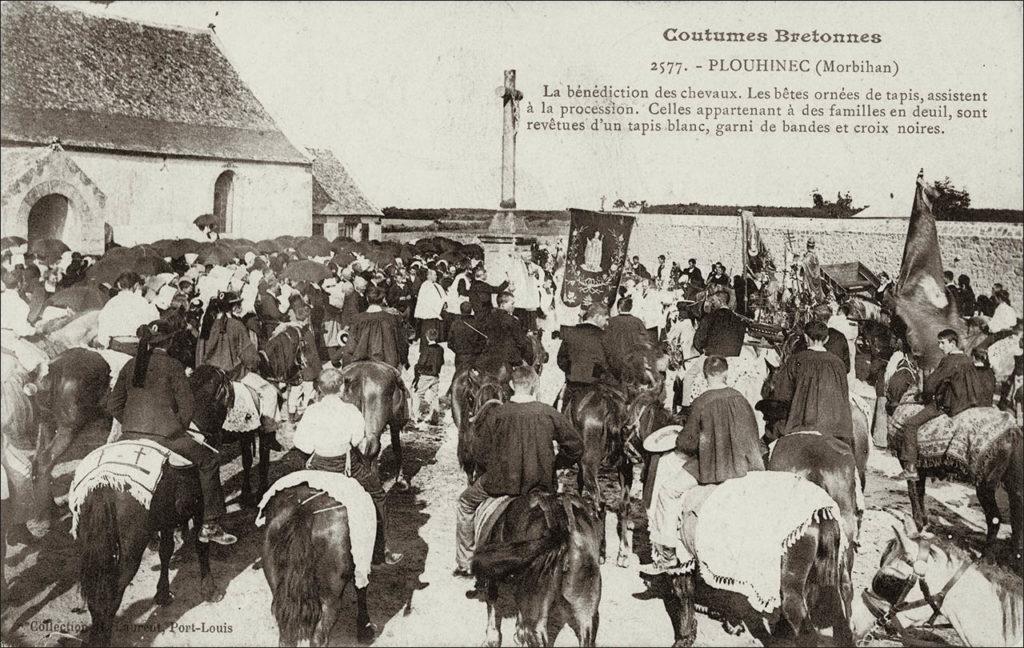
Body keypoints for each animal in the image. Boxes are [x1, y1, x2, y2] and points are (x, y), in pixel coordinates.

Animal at [262, 483, 378, 642]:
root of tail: (304, 512)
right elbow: (361, 589)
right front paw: (365, 630)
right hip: (330, 598)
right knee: (319, 636)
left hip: (279, 590)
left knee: (286, 634)